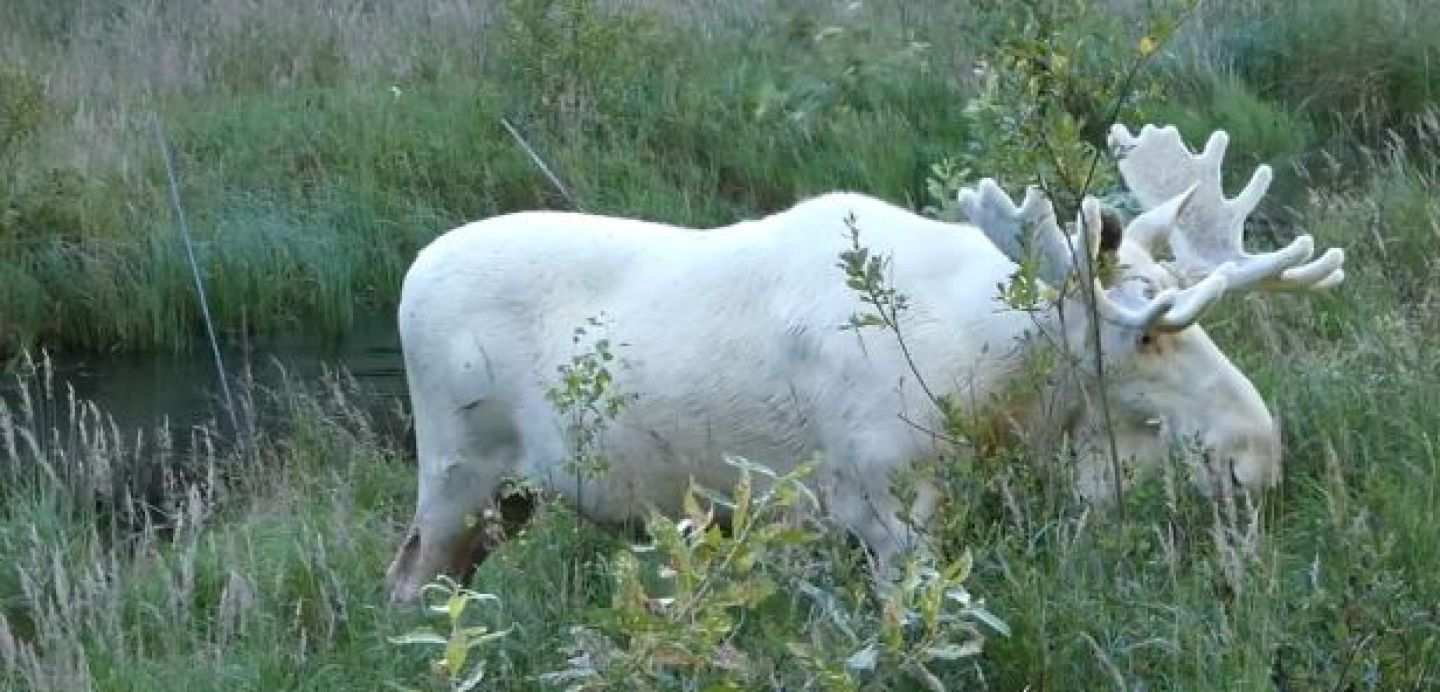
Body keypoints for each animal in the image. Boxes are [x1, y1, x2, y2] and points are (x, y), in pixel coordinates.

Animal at [383, 126, 1336, 601]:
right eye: (1146, 332)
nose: (1257, 451)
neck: (993, 381)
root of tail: (409, 276)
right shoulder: (885, 509)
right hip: (457, 475)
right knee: (404, 580)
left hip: (509, 498)